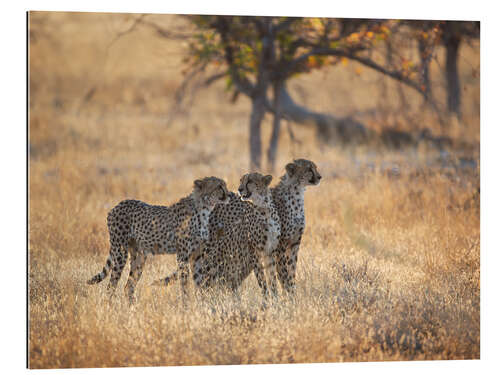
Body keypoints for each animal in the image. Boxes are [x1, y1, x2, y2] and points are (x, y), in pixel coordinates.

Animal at [87, 178, 229, 304]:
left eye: (224, 185)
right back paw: (110, 306)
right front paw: (186, 305)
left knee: (129, 286)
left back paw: (133, 309)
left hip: (139, 257)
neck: (204, 209)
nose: (228, 195)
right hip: (120, 252)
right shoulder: (183, 256)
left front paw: (202, 303)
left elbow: (199, 282)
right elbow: (184, 283)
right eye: (219, 187)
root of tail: (117, 205)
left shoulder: (196, 255)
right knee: (111, 285)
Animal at [272, 159, 322, 294]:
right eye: (309, 169)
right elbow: (283, 271)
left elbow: (291, 268)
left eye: (315, 167)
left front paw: (292, 291)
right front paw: (288, 292)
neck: (297, 193)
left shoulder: (294, 242)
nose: (320, 177)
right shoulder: (280, 244)